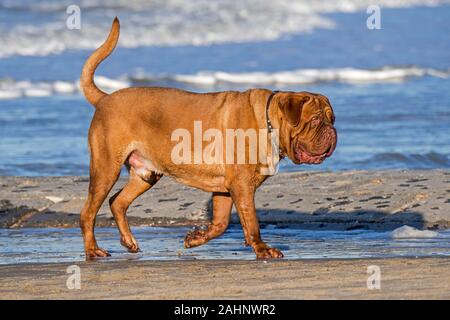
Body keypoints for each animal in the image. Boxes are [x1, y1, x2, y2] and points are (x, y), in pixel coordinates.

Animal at [79, 18, 336, 260]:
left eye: (331, 119)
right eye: (315, 121)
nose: (333, 132)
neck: (268, 122)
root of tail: (105, 99)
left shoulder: (225, 189)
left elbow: (220, 224)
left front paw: (195, 238)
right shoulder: (241, 186)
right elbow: (251, 221)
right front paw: (262, 249)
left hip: (146, 174)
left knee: (118, 202)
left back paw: (129, 241)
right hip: (106, 169)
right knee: (88, 212)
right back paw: (92, 250)